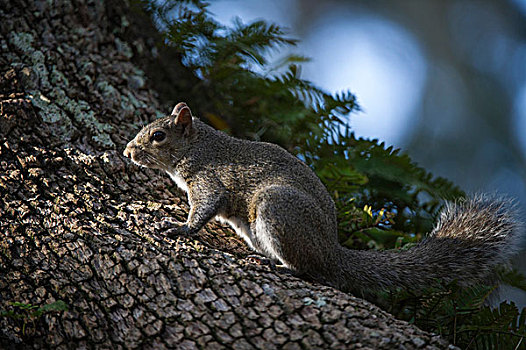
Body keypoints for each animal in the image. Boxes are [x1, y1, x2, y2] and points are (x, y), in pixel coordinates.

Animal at [124, 102, 524, 296]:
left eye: (158, 136)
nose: (128, 152)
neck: (198, 146)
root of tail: (332, 252)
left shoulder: (209, 179)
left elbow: (205, 207)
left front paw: (179, 228)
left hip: (277, 209)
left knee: (309, 270)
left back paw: (281, 266)